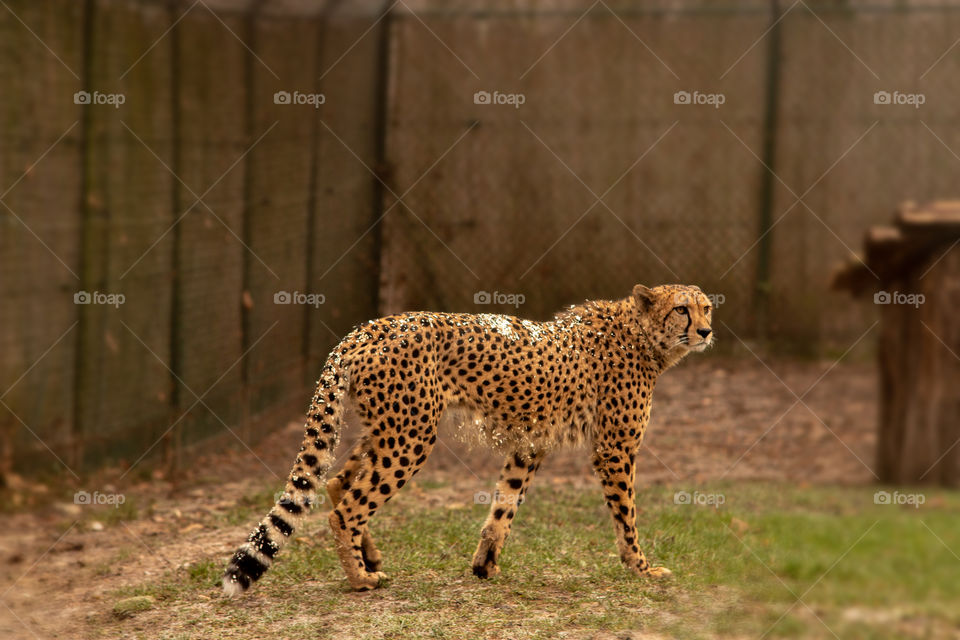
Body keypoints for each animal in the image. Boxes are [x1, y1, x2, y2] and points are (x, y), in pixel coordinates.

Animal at [222, 283, 713, 594]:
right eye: (682, 309)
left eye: (707, 307)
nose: (707, 331)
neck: (642, 334)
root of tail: (367, 327)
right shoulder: (616, 449)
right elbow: (626, 516)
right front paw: (641, 568)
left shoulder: (530, 443)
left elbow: (505, 504)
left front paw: (484, 564)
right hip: (411, 435)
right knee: (347, 507)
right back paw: (361, 580)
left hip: (391, 426)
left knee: (339, 481)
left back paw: (371, 558)